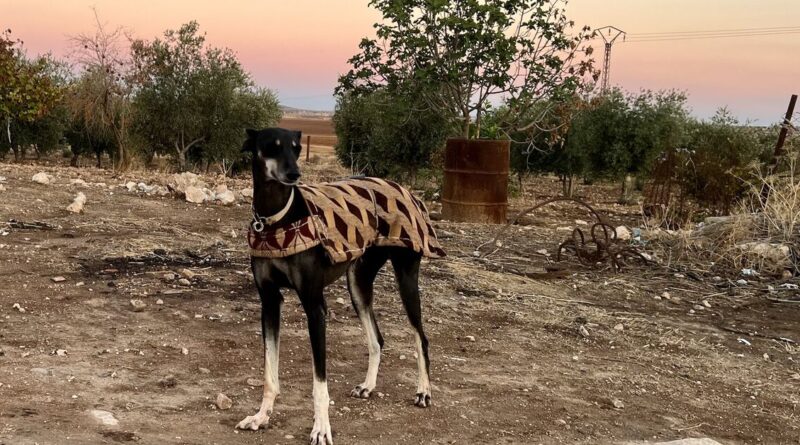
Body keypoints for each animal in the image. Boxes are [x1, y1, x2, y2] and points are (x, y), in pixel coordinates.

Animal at [238, 126, 438, 442]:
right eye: (272, 146)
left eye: (296, 148)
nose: (294, 174)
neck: (276, 219)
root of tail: (406, 190)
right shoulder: (269, 302)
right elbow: (269, 373)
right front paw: (261, 417)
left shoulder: (315, 306)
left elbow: (319, 383)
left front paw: (321, 428)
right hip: (358, 282)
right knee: (377, 339)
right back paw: (368, 386)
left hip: (406, 277)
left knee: (421, 337)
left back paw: (423, 391)